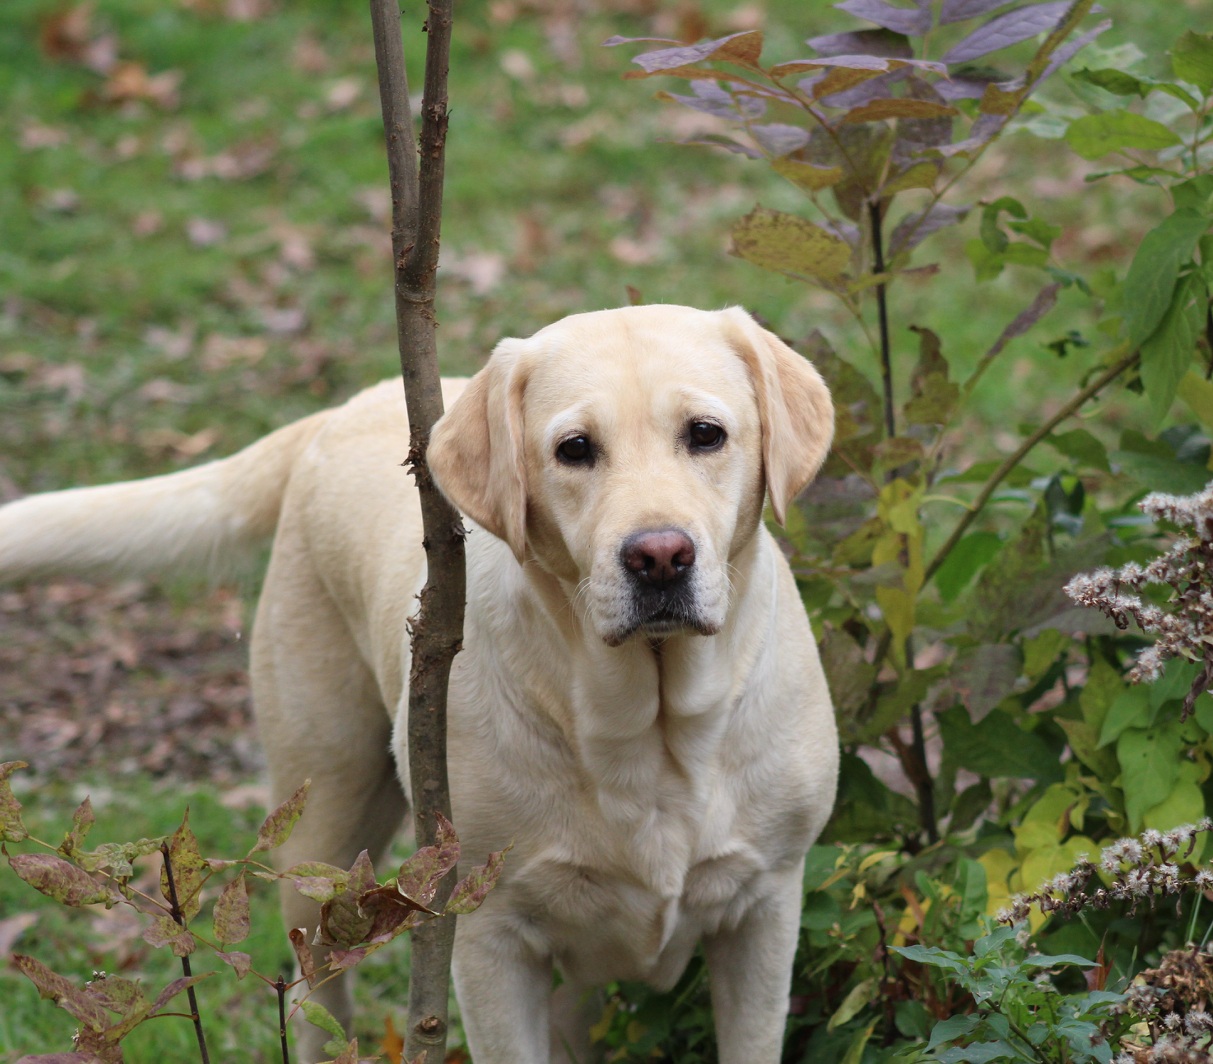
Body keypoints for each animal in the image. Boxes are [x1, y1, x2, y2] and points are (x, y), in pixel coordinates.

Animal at [0, 303, 834, 1057]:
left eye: (705, 434)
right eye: (574, 450)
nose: (658, 556)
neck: (650, 723)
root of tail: (340, 409)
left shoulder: (765, 913)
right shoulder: (490, 937)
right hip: (324, 832)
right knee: (309, 995)